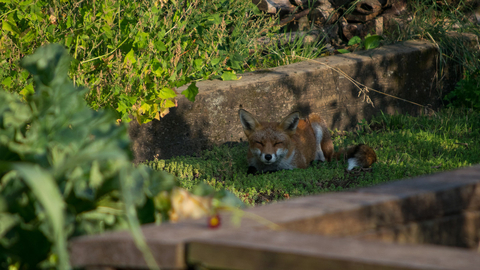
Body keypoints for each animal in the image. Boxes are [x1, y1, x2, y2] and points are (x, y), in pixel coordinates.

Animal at [238, 108, 376, 174]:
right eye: (259, 143)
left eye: (277, 143)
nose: (268, 156)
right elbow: (251, 169)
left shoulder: (297, 167)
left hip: (315, 120)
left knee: (326, 159)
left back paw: (316, 162)